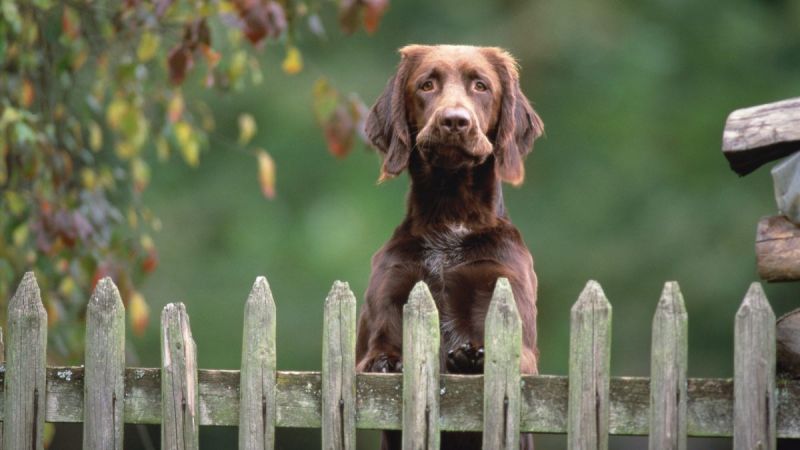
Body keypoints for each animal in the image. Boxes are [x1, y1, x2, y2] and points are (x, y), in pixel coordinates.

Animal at [356, 43, 544, 450]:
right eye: (427, 84)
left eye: (481, 85)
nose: (455, 121)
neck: (450, 217)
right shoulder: (390, 298)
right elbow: (376, 353)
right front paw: (386, 362)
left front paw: (472, 360)